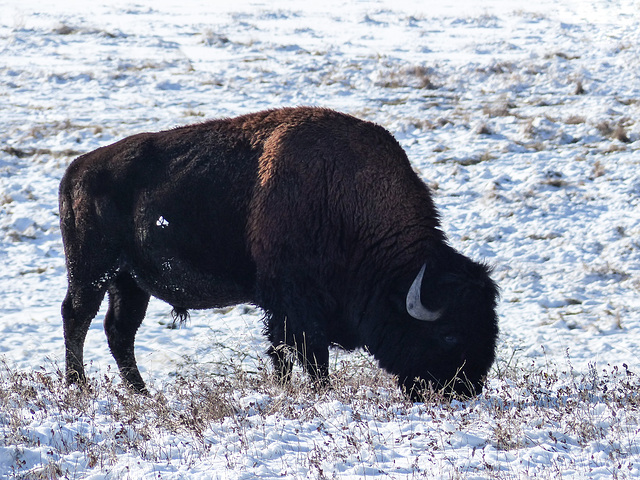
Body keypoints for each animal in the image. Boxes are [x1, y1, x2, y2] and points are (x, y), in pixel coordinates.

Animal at [60, 107, 500, 400]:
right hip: (93, 272)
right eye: (448, 334)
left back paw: (143, 395)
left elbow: (286, 354)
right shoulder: (293, 302)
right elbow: (307, 354)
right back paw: (78, 389)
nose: (466, 390)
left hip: (129, 282)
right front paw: (320, 393)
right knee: (77, 318)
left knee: (119, 330)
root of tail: (76, 170)